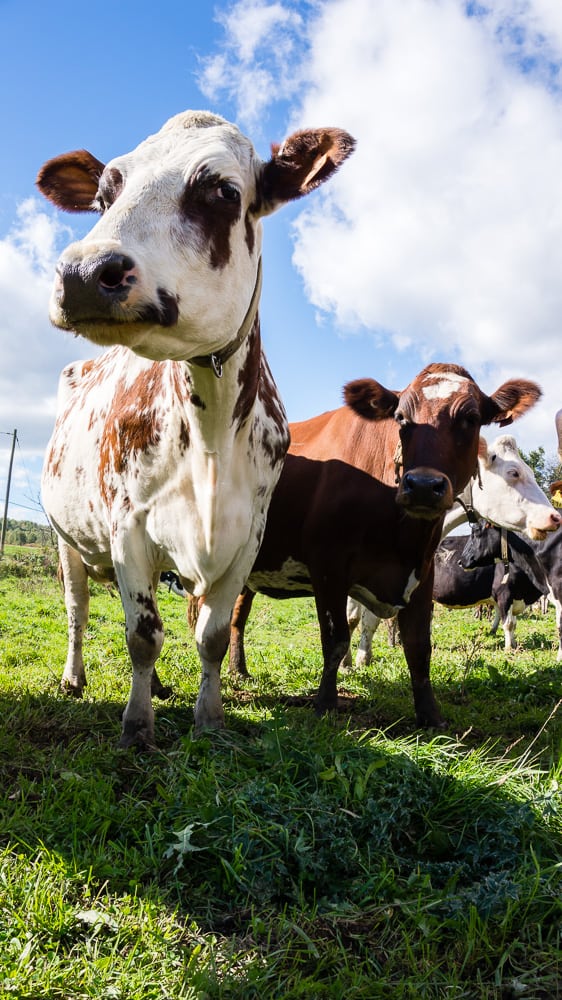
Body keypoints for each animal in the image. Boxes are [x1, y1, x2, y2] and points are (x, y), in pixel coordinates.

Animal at [36, 109, 355, 748]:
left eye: (223, 191)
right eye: (104, 196)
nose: (83, 273)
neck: (210, 438)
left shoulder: (247, 535)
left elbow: (210, 634)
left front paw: (209, 718)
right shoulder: (127, 525)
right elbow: (141, 635)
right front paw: (137, 725)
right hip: (67, 540)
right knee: (79, 611)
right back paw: (75, 678)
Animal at [228, 364, 543, 729]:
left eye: (472, 417)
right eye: (401, 418)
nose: (423, 486)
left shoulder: (422, 572)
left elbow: (418, 646)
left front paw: (430, 715)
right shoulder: (328, 567)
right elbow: (336, 638)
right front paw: (326, 704)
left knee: (237, 616)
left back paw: (239, 671)